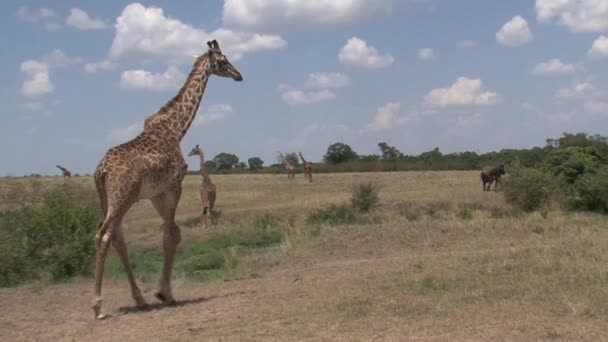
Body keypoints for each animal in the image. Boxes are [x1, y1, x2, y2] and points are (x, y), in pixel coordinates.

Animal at [91, 40, 242, 320]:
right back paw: (97, 306)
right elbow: (170, 235)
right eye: (224, 60)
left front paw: (160, 292)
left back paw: (139, 299)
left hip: (106, 201)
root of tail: (101, 172)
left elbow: (174, 233)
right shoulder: (174, 186)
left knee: (118, 239)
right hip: (122, 198)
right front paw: (165, 293)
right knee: (104, 236)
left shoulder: (156, 194)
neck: (177, 128)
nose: (239, 75)